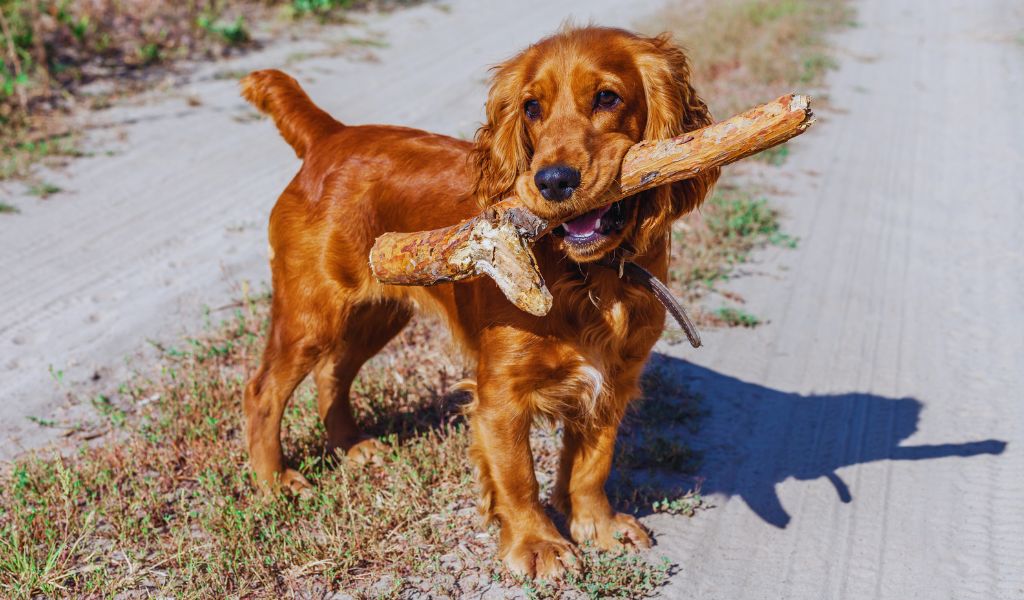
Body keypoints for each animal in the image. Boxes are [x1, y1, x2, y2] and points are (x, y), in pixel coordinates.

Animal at [239, 25, 720, 577]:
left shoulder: (614, 378)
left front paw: (597, 526)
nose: (552, 181)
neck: (588, 277)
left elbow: (592, 465)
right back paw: (274, 483)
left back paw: (352, 446)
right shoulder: (501, 394)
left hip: (379, 313)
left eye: (607, 97)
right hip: (311, 313)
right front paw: (538, 544)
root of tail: (330, 136)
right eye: (531, 108)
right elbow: (518, 476)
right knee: (263, 391)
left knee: (332, 373)